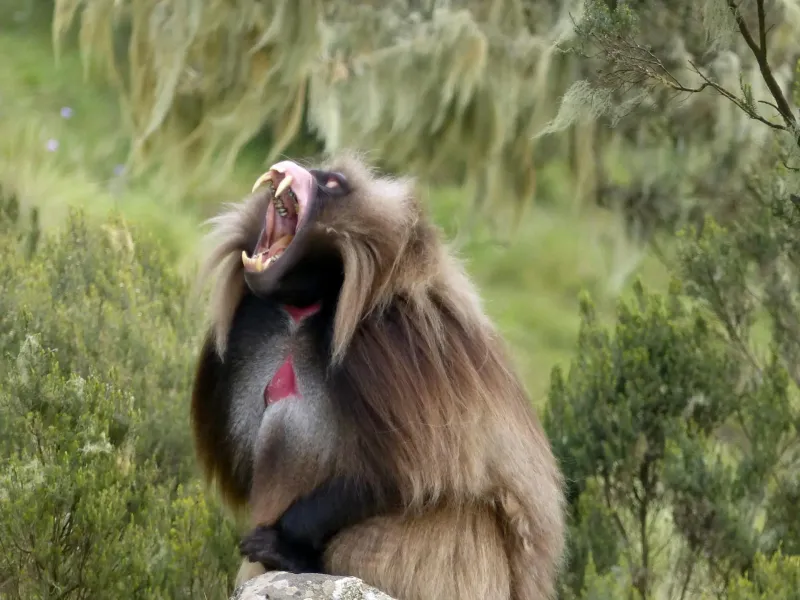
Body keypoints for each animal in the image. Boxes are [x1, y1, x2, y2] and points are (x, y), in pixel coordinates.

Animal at [190, 152, 566, 600]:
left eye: (333, 183)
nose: (291, 165)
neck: (309, 306)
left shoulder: (388, 340)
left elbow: (415, 476)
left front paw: (283, 543)